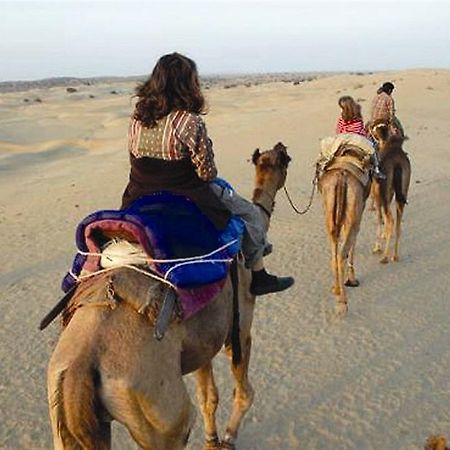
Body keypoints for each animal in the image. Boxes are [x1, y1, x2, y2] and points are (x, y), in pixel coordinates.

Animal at [46, 142, 292, 450]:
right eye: (285, 159)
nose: (281, 145)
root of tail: (79, 368)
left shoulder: (202, 340)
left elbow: (208, 397)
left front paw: (212, 440)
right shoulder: (239, 327)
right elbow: (244, 394)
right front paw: (227, 439)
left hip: (65, 414)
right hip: (162, 415)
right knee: (181, 421)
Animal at [318, 145, 370, 316]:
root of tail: (342, 176)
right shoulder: (359, 211)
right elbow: (353, 244)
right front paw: (352, 279)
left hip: (329, 207)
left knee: (334, 248)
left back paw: (336, 289)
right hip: (353, 209)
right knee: (342, 252)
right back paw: (343, 301)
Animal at [370, 119, 412, 264]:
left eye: (376, 126)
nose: (369, 126)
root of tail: (397, 164)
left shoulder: (378, 195)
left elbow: (379, 218)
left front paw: (377, 247)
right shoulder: (389, 194)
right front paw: (384, 235)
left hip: (383, 194)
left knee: (390, 220)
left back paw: (385, 257)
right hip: (402, 192)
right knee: (398, 223)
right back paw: (395, 256)